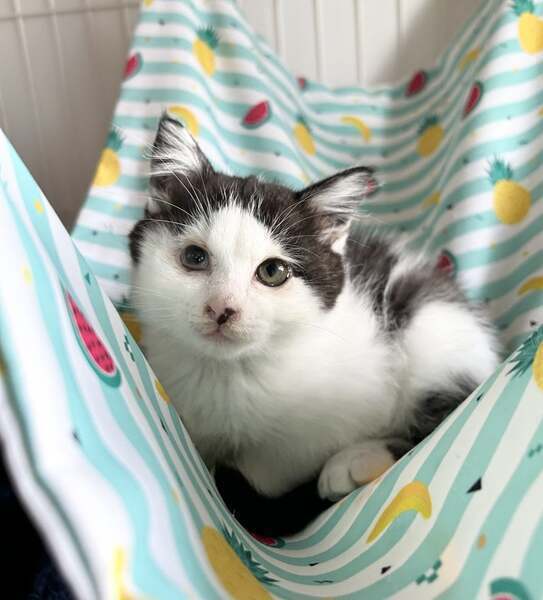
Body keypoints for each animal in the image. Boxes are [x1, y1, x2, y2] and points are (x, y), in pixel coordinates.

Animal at [129, 113, 500, 525]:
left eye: (272, 271)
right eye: (195, 258)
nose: (222, 309)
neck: (228, 373)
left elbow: (273, 469)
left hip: (431, 328)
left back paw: (356, 462)